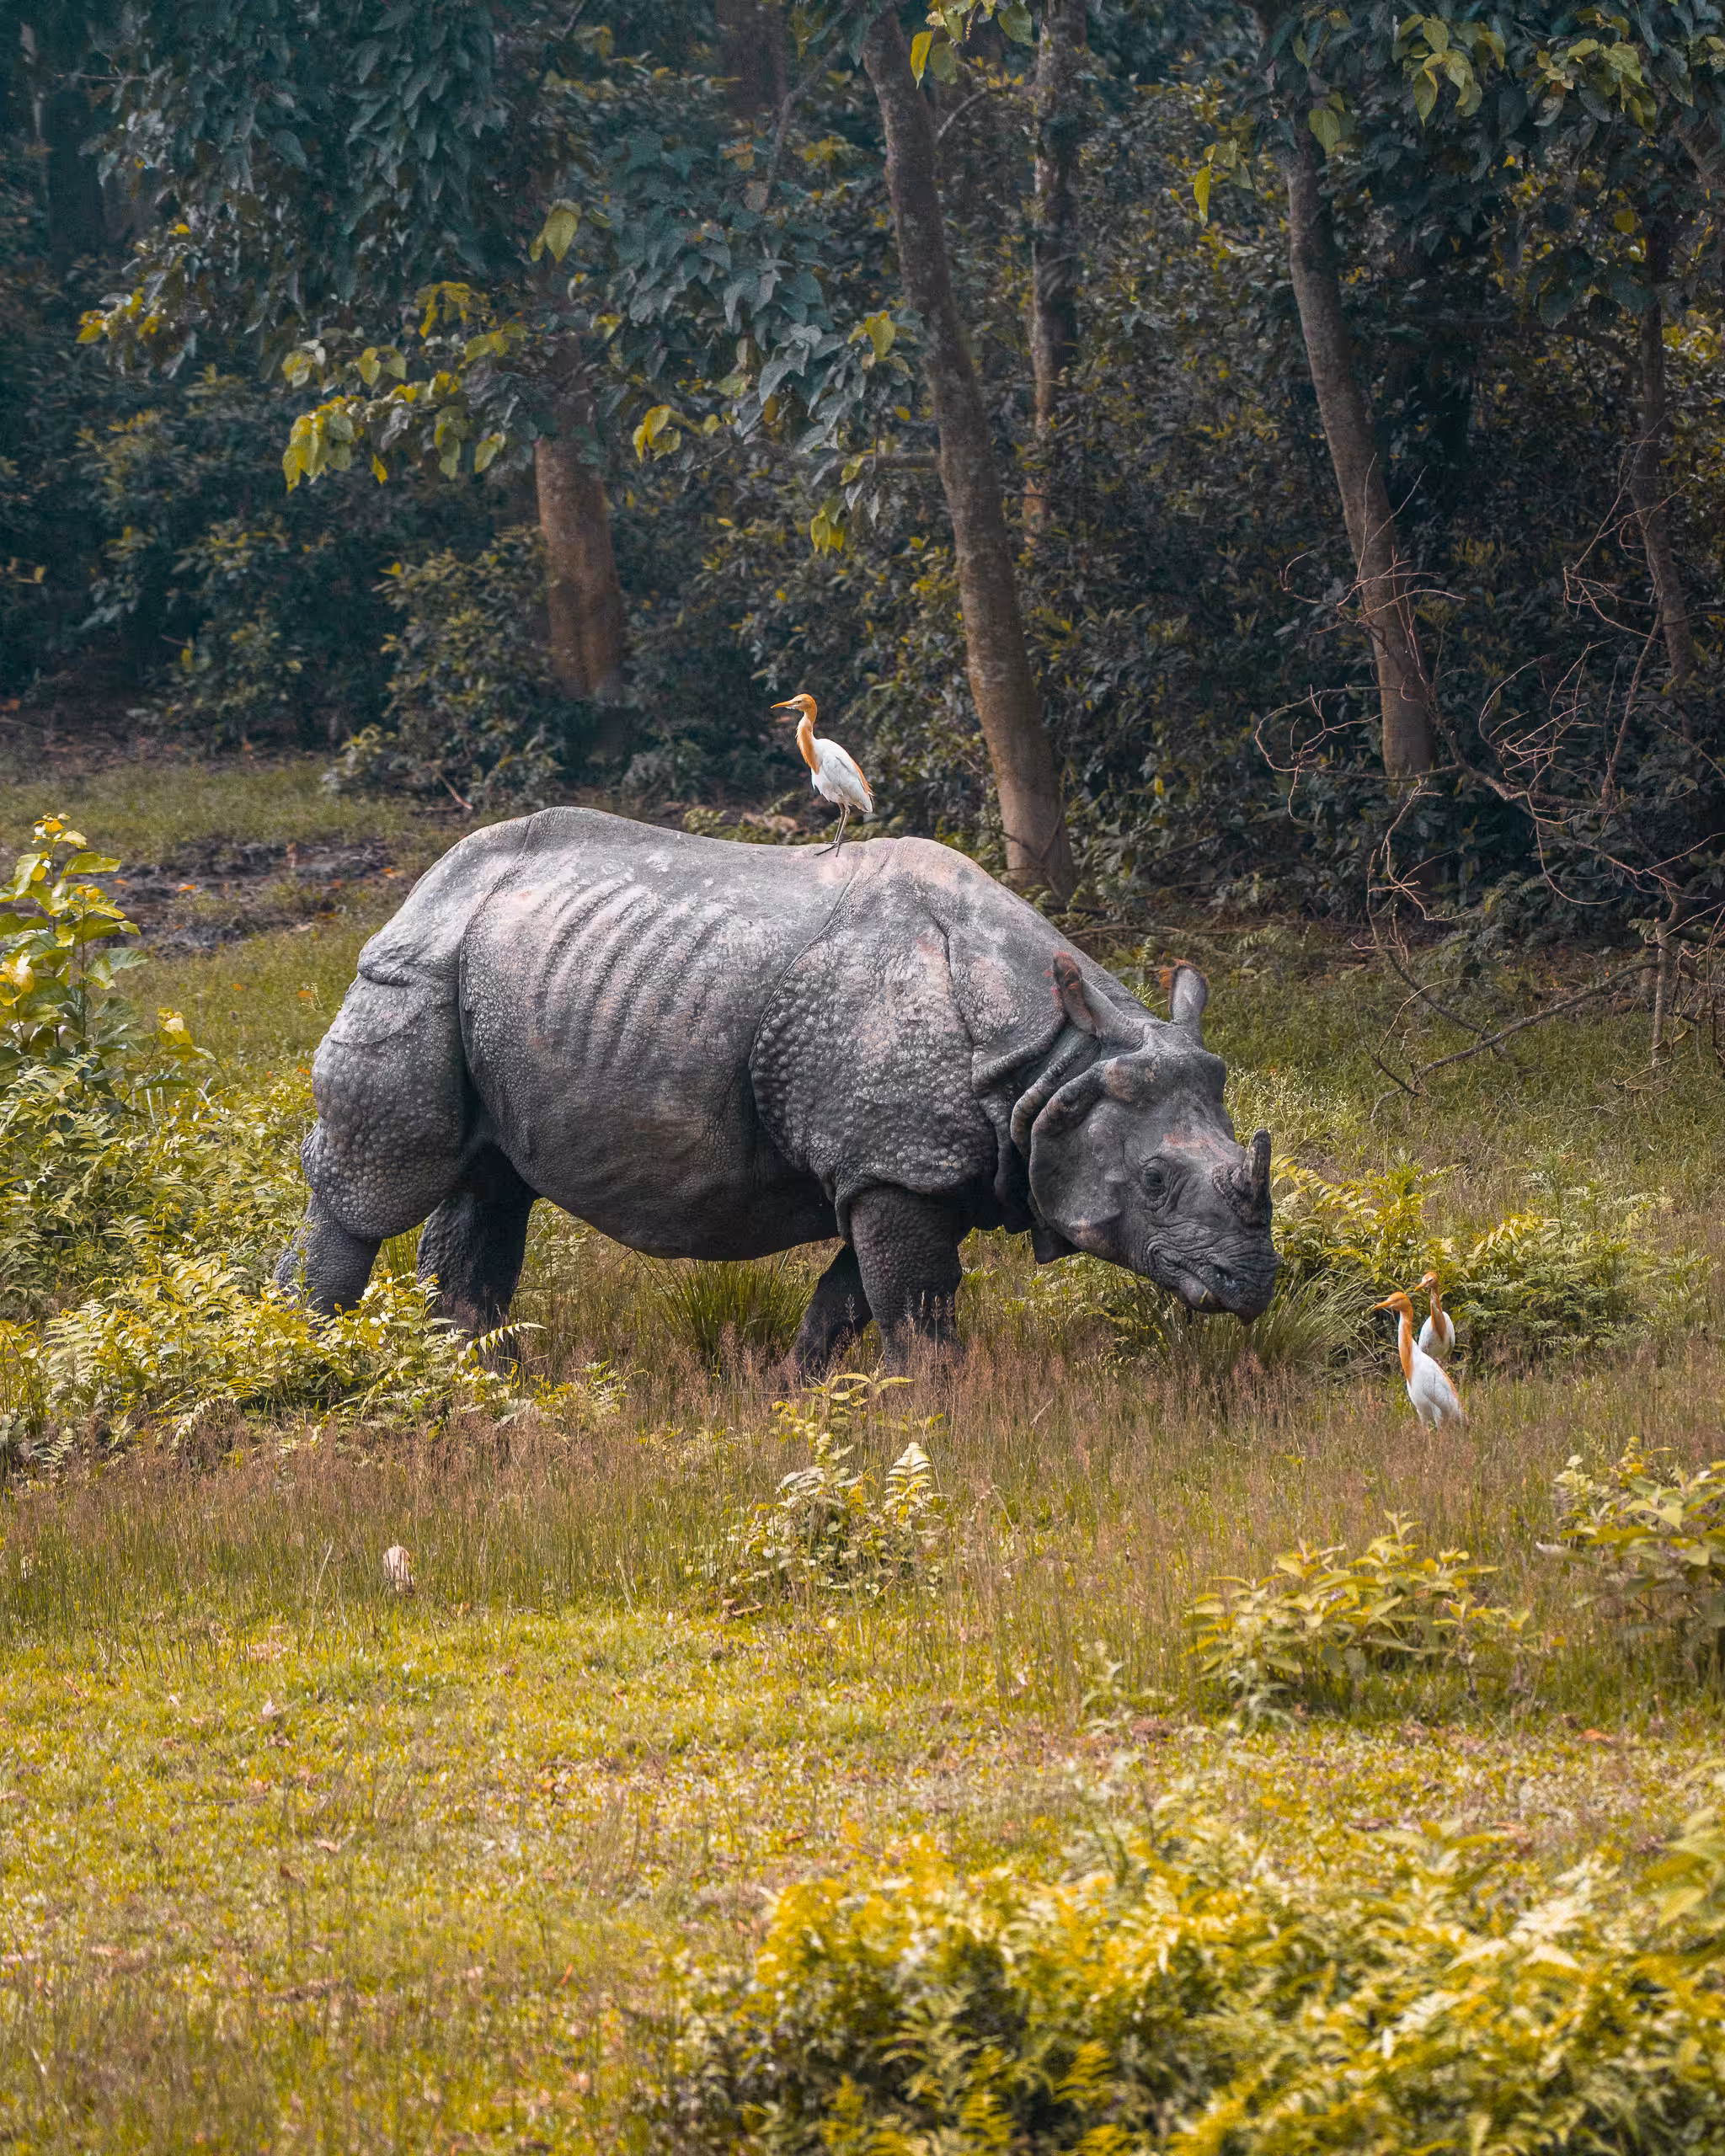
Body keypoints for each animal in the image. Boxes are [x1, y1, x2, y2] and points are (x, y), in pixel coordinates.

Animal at [277, 809, 1277, 1365]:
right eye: (1153, 1181)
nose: (1254, 1282)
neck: (1055, 1061)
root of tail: (428, 879)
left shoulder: (904, 1169)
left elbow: (849, 1304)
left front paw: (802, 1400)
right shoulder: (895, 1163)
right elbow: (916, 1311)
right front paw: (943, 1417)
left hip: (508, 969)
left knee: (491, 1186)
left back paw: (484, 1391)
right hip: (418, 966)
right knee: (377, 1185)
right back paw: (304, 1359)